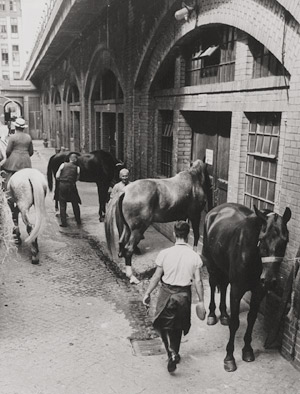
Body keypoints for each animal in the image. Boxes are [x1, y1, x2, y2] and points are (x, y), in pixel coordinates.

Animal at [202, 203, 290, 372]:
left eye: (285, 241)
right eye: (262, 239)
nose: (269, 280)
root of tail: (216, 210)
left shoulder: (258, 292)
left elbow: (251, 319)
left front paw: (248, 350)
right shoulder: (237, 291)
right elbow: (235, 323)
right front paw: (229, 358)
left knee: (223, 286)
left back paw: (224, 315)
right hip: (212, 265)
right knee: (213, 284)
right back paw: (212, 315)